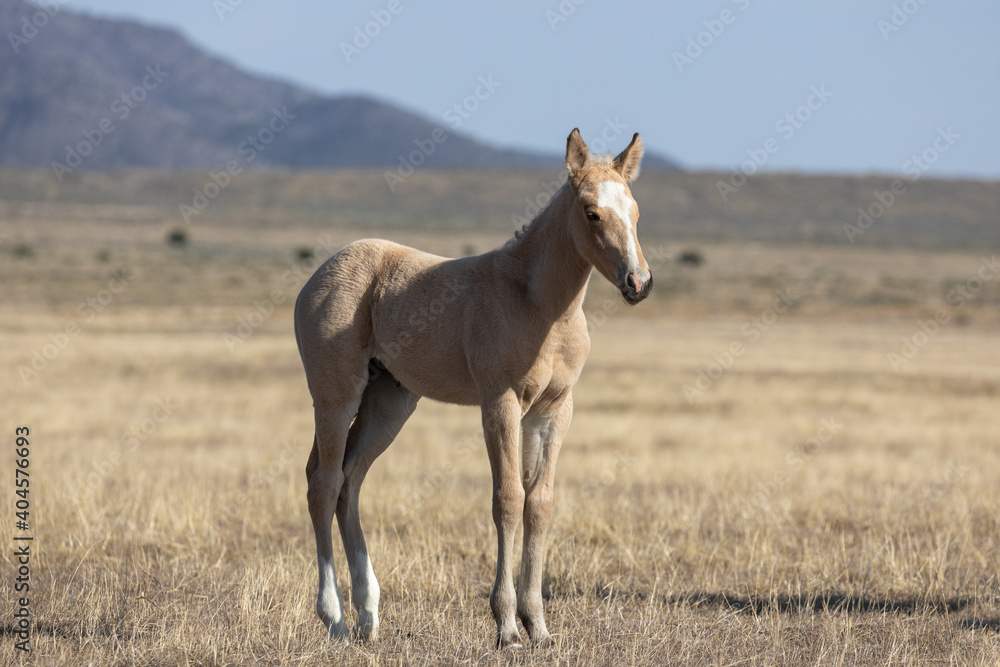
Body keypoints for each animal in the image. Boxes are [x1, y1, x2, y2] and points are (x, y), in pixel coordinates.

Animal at [294, 129, 656, 648]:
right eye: (591, 212)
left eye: (636, 211)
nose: (638, 283)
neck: (539, 305)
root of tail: (319, 274)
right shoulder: (499, 402)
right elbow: (507, 499)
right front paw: (506, 626)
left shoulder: (554, 409)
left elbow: (539, 503)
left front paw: (538, 626)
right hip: (336, 398)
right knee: (323, 484)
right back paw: (335, 618)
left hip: (389, 404)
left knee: (350, 481)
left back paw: (368, 614)